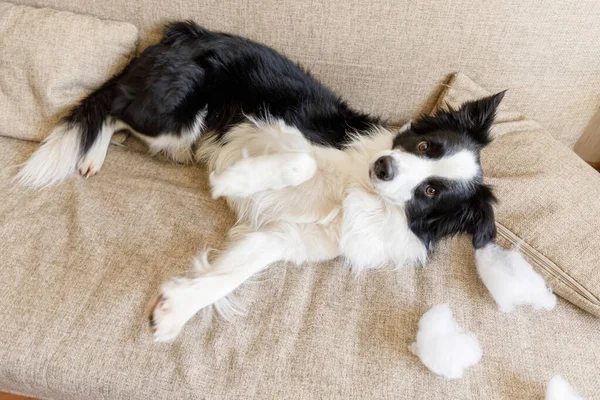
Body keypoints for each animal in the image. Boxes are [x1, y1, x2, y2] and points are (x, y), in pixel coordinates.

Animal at [17, 21, 502, 340]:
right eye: (425, 146)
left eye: (431, 191)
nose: (383, 167)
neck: (359, 192)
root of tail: (185, 32)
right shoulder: (274, 128)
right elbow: (301, 161)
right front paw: (235, 180)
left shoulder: (284, 237)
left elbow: (231, 274)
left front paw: (176, 310)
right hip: (176, 120)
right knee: (111, 106)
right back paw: (92, 151)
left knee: (116, 114)